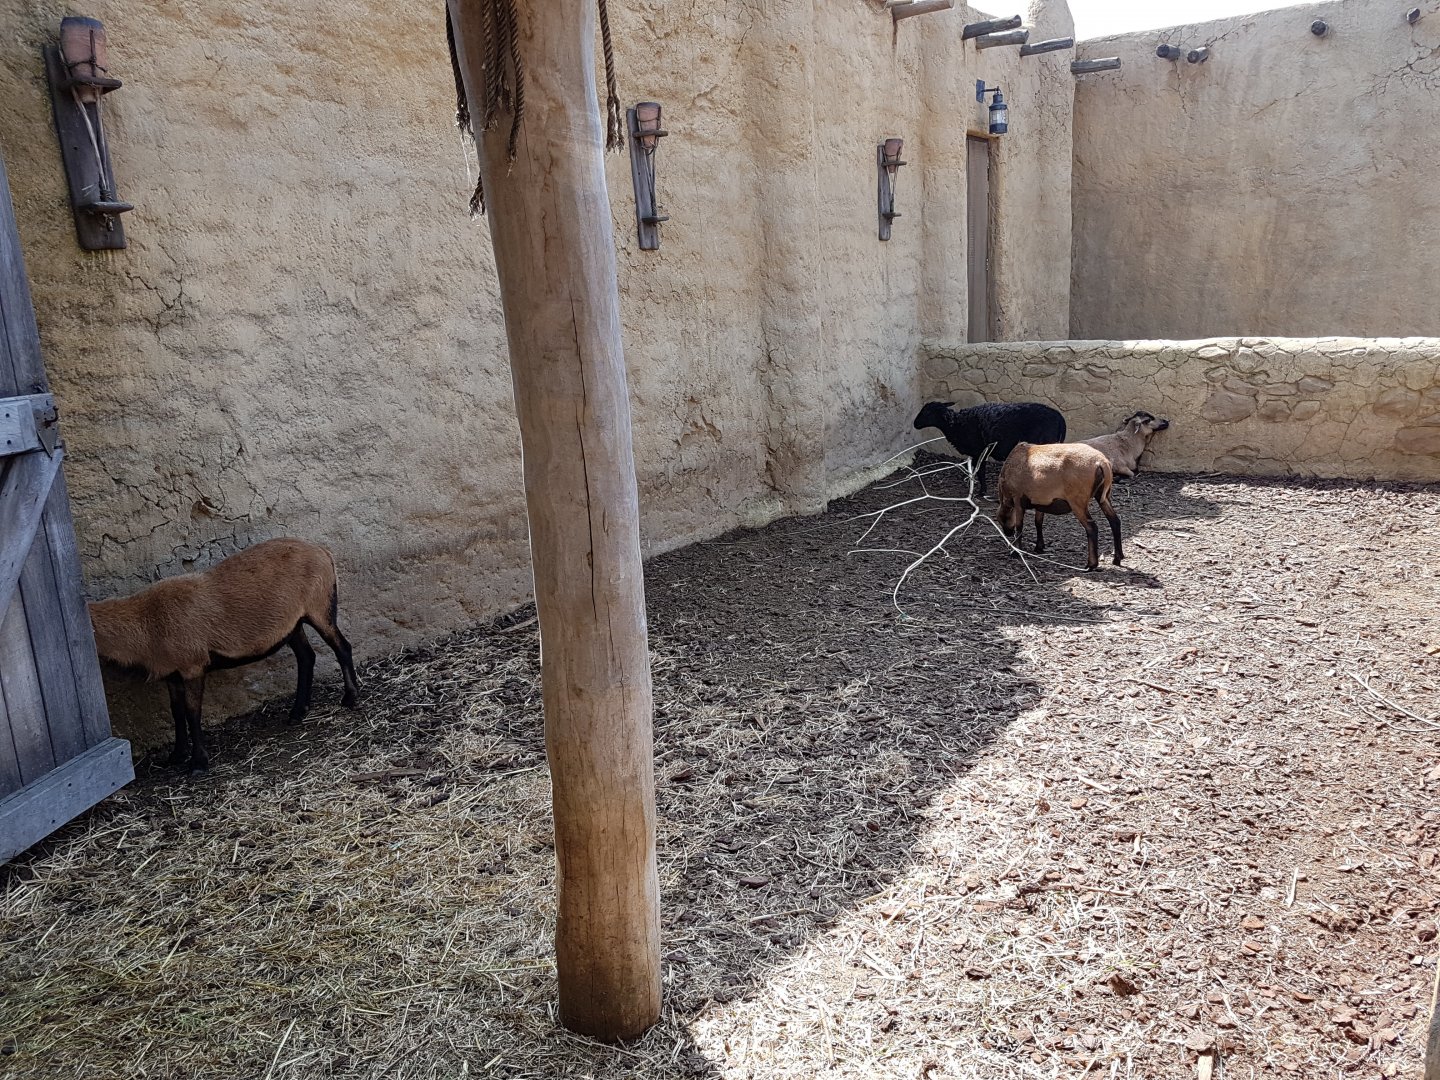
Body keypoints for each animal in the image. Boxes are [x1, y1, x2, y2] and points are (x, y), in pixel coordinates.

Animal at [87, 538, 359, 772]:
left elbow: (192, 712)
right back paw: (297, 712)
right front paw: (176, 755)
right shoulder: (172, 673)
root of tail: (322, 551)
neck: (146, 621)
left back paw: (350, 697)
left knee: (342, 647)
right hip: (292, 624)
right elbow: (177, 713)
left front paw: (198, 763)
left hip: (320, 606)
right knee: (306, 657)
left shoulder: (193, 665)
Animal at [913, 401, 1067, 497]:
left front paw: (981, 492)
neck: (956, 425)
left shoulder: (978, 451)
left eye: (927, 412)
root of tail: (1059, 417)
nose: (915, 424)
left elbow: (980, 472)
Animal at [996, 442, 1123, 571]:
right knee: (1115, 521)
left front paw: (1016, 552)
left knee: (1092, 528)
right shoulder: (1040, 503)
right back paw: (1117, 558)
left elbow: (1019, 526)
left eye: (1001, 520)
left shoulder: (1018, 499)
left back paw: (1091, 565)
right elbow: (1038, 522)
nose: (1007, 533)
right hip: (1103, 496)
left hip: (1077, 501)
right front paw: (1039, 547)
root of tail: (1102, 462)